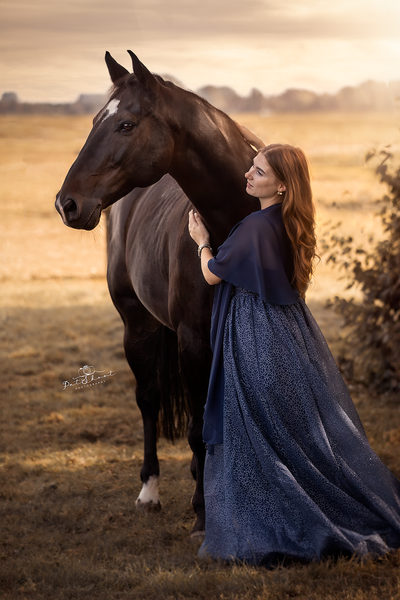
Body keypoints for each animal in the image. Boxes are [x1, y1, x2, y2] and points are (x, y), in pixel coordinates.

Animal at [54, 49, 258, 532]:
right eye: (95, 120)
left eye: (126, 124)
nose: (66, 203)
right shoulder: (192, 341)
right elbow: (198, 428)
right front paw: (205, 513)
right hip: (137, 323)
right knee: (148, 399)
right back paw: (151, 489)